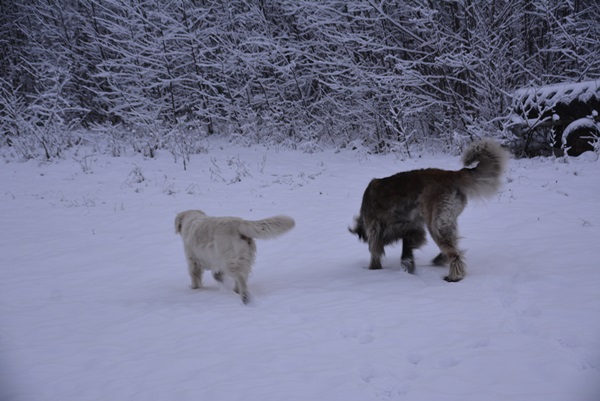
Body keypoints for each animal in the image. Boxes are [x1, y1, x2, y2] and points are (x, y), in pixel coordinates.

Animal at [350, 140, 508, 282]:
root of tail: (451, 174)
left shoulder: (375, 230)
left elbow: (375, 251)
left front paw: (373, 269)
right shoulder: (412, 228)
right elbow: (406, 252)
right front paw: (407, 268)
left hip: (435, 225)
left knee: (453, 253)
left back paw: (454, 276)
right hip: (446, 222)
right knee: (453, 246)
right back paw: (440, 260)